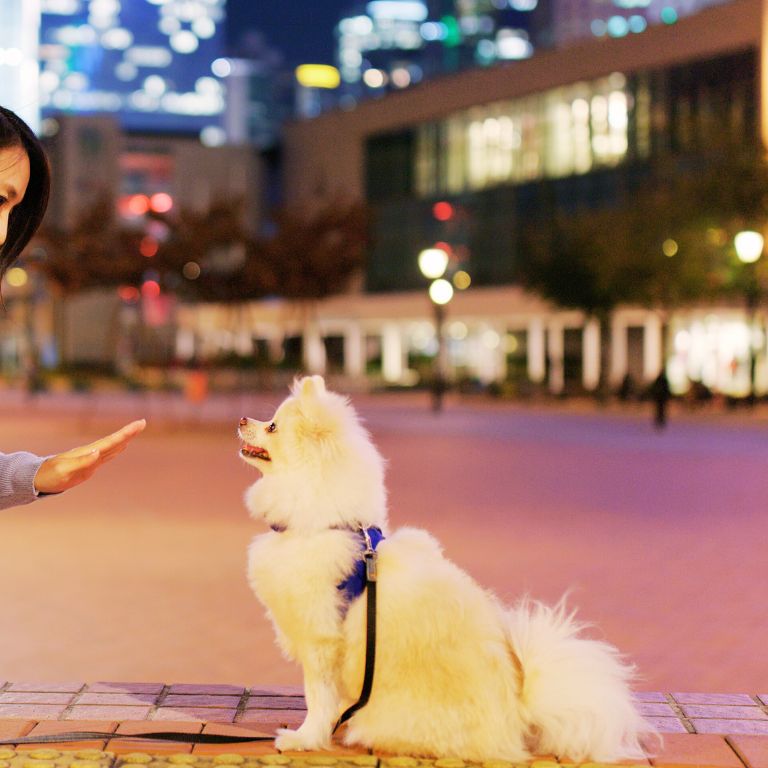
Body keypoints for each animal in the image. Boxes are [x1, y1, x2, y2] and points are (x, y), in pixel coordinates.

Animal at [238, 376, 656, 760]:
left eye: (272, 426)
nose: (242, 418)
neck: (326, 522)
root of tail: (519, 718)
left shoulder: (320, 640)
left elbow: (317, 698)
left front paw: (304, 738)